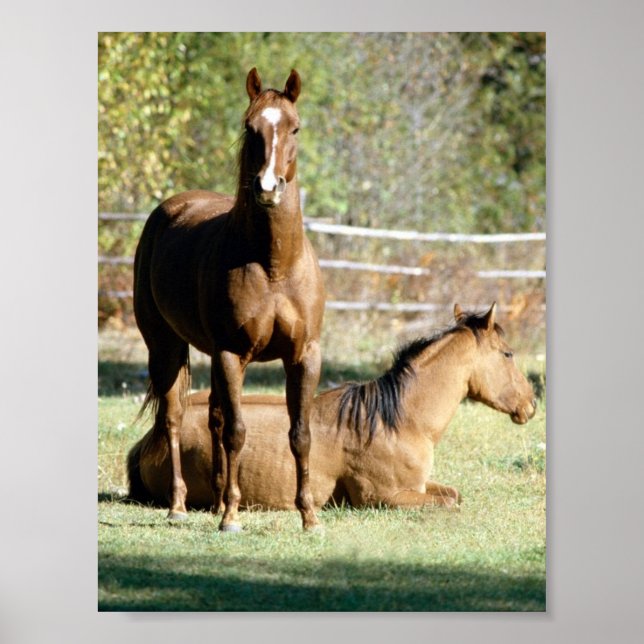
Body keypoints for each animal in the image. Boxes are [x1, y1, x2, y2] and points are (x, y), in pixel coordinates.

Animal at [127, 304, 537, 513]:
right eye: (507, 354)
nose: (531, 404)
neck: (398, 421)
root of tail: (150, 441)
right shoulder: (384, 499)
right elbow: (450, 504)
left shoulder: (419, 486)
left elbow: (454, 495)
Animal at [132, 68, 325, 532]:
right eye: (250, 127)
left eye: (295, 127)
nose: (268, 188)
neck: (274, 265)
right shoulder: (232, 354)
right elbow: (238, 431)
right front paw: (232, 517)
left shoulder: (305, 356)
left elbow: (300, 434)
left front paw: (309, 516)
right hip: (166, 347)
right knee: (175, 418)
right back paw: (179, 506)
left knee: (214, 419)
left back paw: (218, 498)